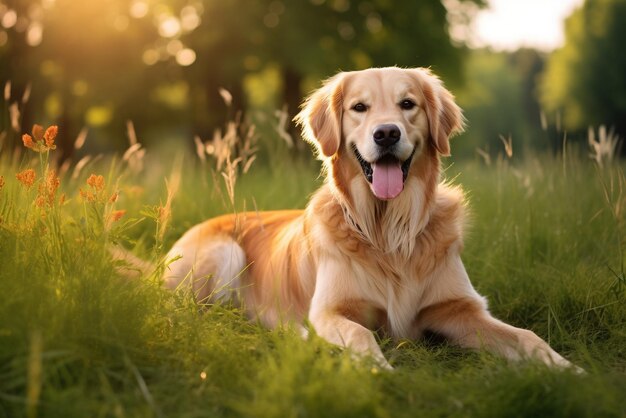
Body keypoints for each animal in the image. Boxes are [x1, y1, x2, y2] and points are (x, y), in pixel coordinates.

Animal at [160, 67, 576, 370]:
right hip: (225, 255)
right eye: (359, 108)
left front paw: (569, 371)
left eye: (408, 104)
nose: (387, 133)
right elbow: (362, 335)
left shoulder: (461, 308)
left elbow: (527, 336)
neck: (388, 231)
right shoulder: (329, 312)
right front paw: (379, 372)